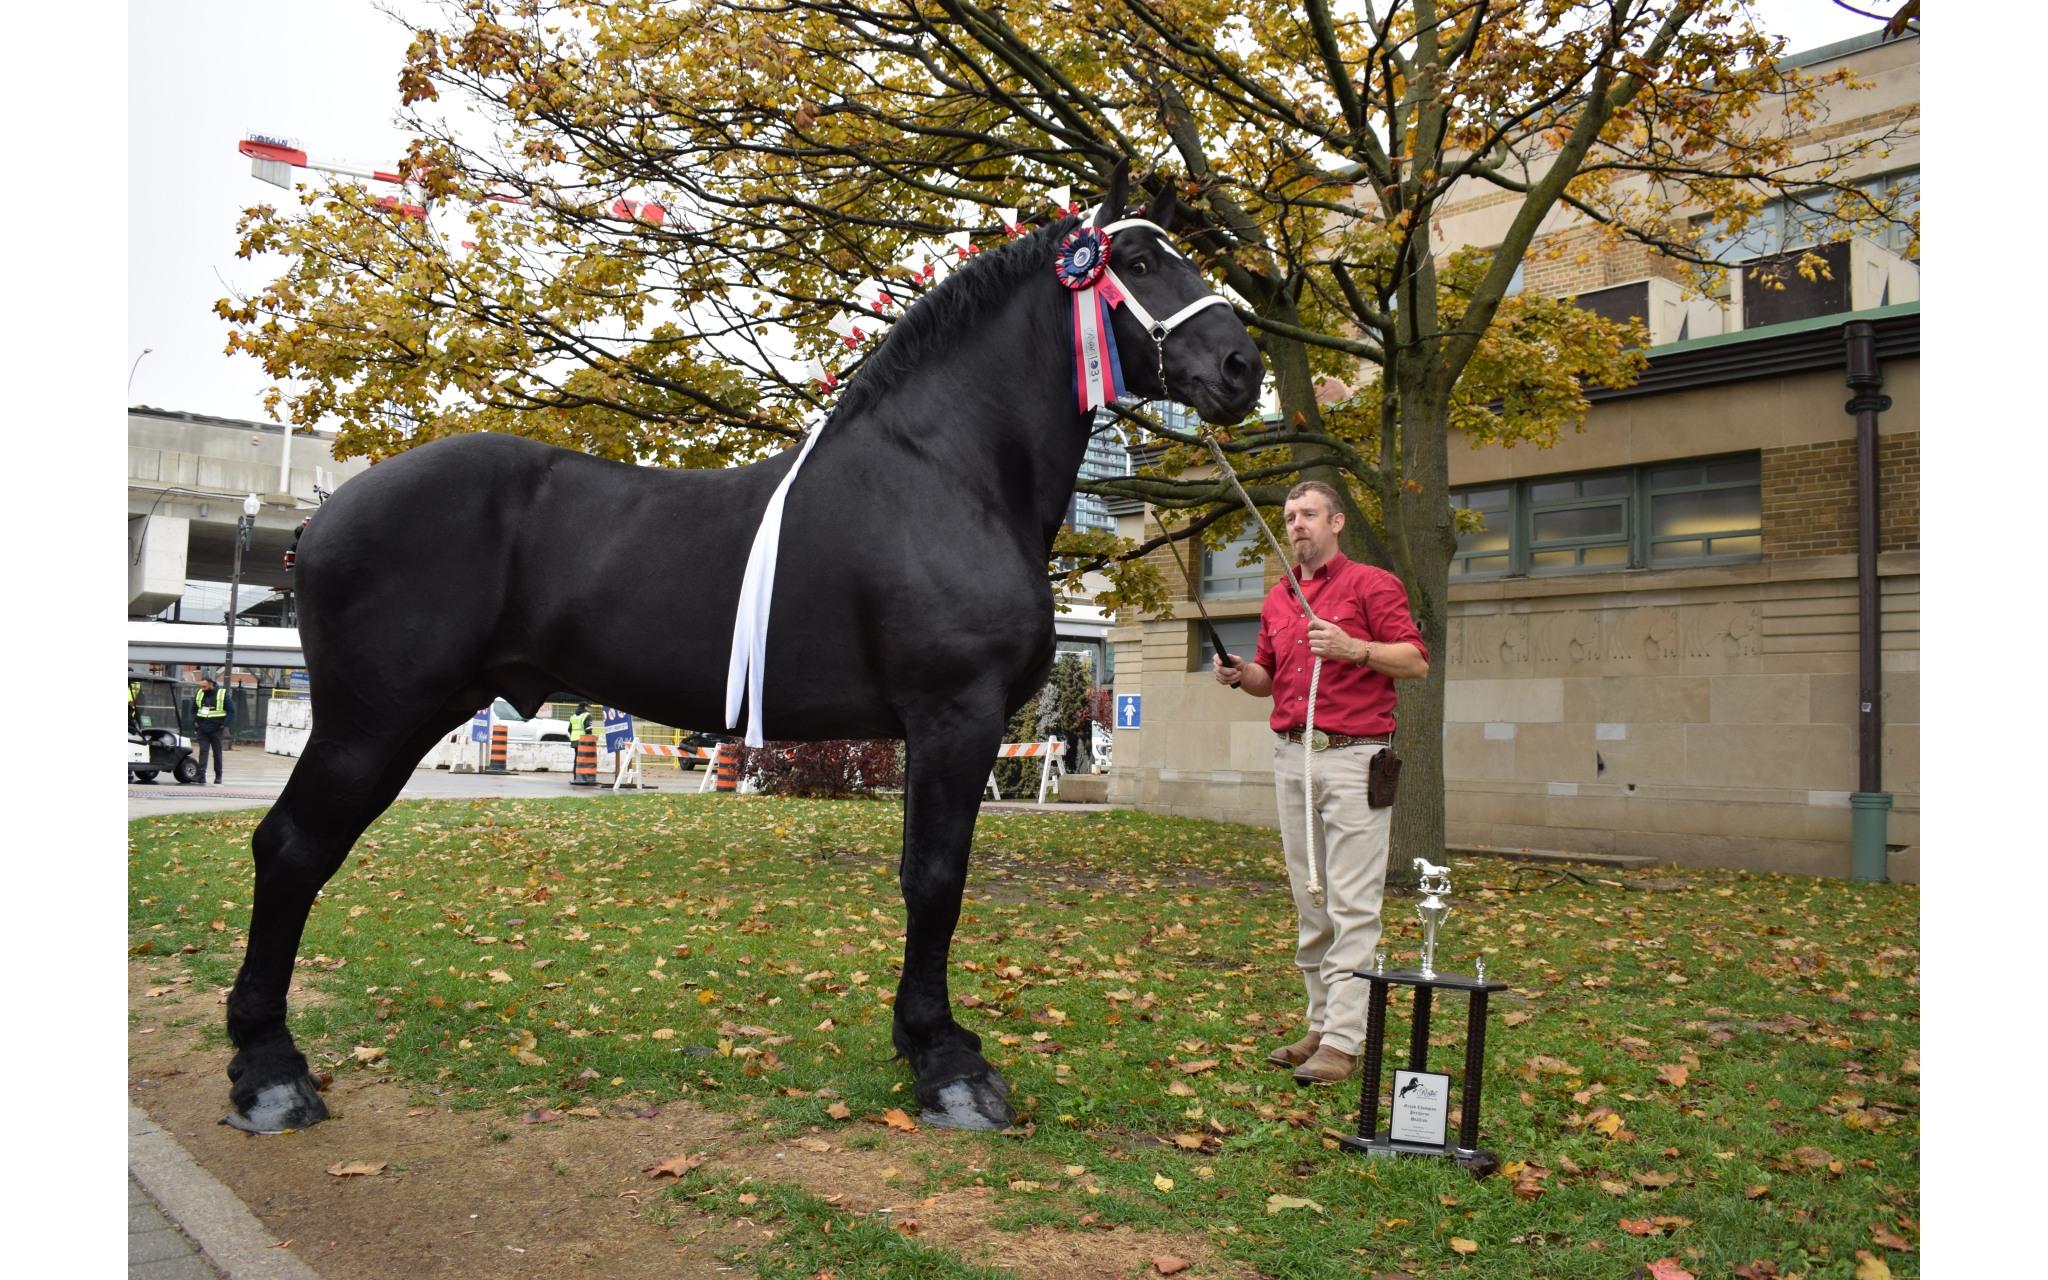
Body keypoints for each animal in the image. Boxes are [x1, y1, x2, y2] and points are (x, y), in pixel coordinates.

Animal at [220, 161, 1264, 1135]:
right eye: (1137, 264)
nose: (1242, 366)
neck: (947, 475)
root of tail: (326, 515)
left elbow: (926, 878)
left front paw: (926, 1041)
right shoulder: (953, 717)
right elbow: (936, 881)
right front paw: (946, 1067)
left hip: (410, 720)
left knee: (309, 849)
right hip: (369, 720)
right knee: (291, 848)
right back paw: (269, 1073)